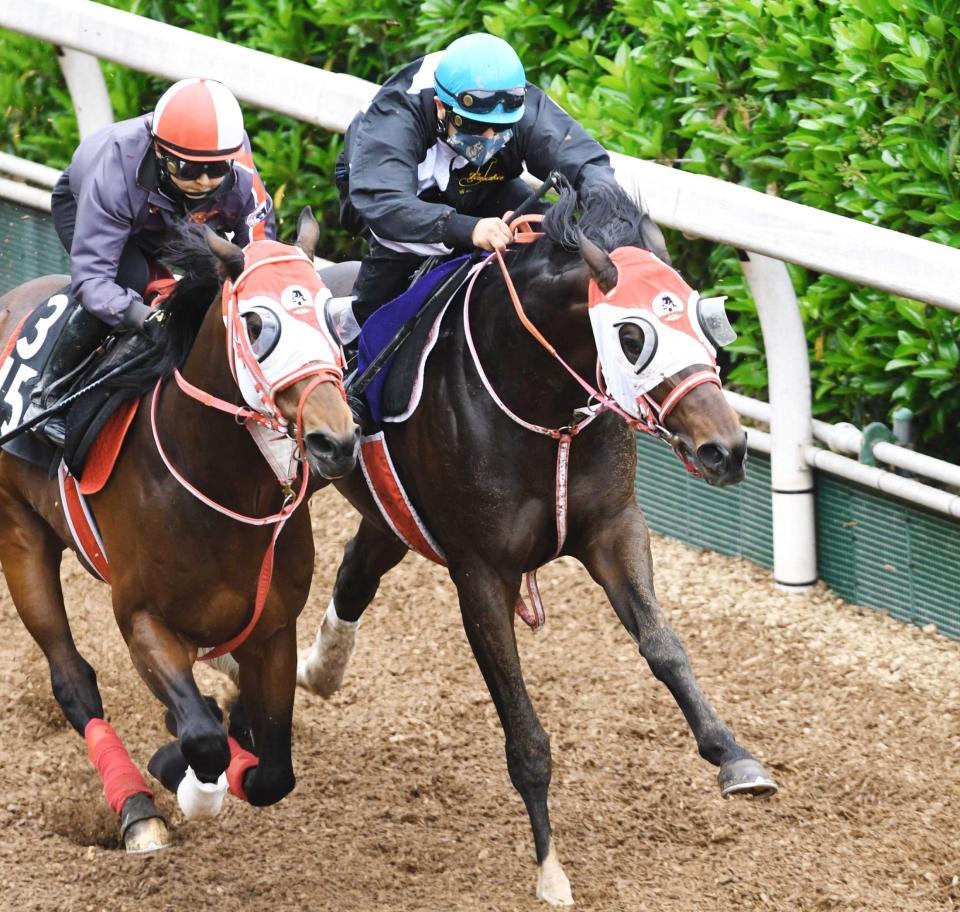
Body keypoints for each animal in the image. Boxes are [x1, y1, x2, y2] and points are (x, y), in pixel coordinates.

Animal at [0, 210, 358, 852]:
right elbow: (203, 740)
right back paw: (138, 811)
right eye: (256, 323)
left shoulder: (273, 628)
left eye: (329, 313)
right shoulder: (142, 619)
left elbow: (273, 773)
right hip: (20, 537)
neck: (220, 490)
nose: (334, 442)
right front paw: (184, 776)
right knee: (73, 681)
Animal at [300, 180, 780, 904]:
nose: (726, 449)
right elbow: (521, 724)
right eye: (632, 335)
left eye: (705, 320)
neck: (534, 397)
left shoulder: (614, 526)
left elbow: (664, 646)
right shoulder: (480, 572)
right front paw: (550, 865)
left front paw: (735, 757)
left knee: (355, 570)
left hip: (391, 516)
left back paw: (318, 670)